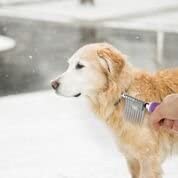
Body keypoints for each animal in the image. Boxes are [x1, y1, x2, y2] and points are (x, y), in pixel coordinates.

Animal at [50, 43, 178, 178]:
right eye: (69, 65)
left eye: (79, 66)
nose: (53, 84)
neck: (121, 95)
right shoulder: (132, 159)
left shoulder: (148, 160)